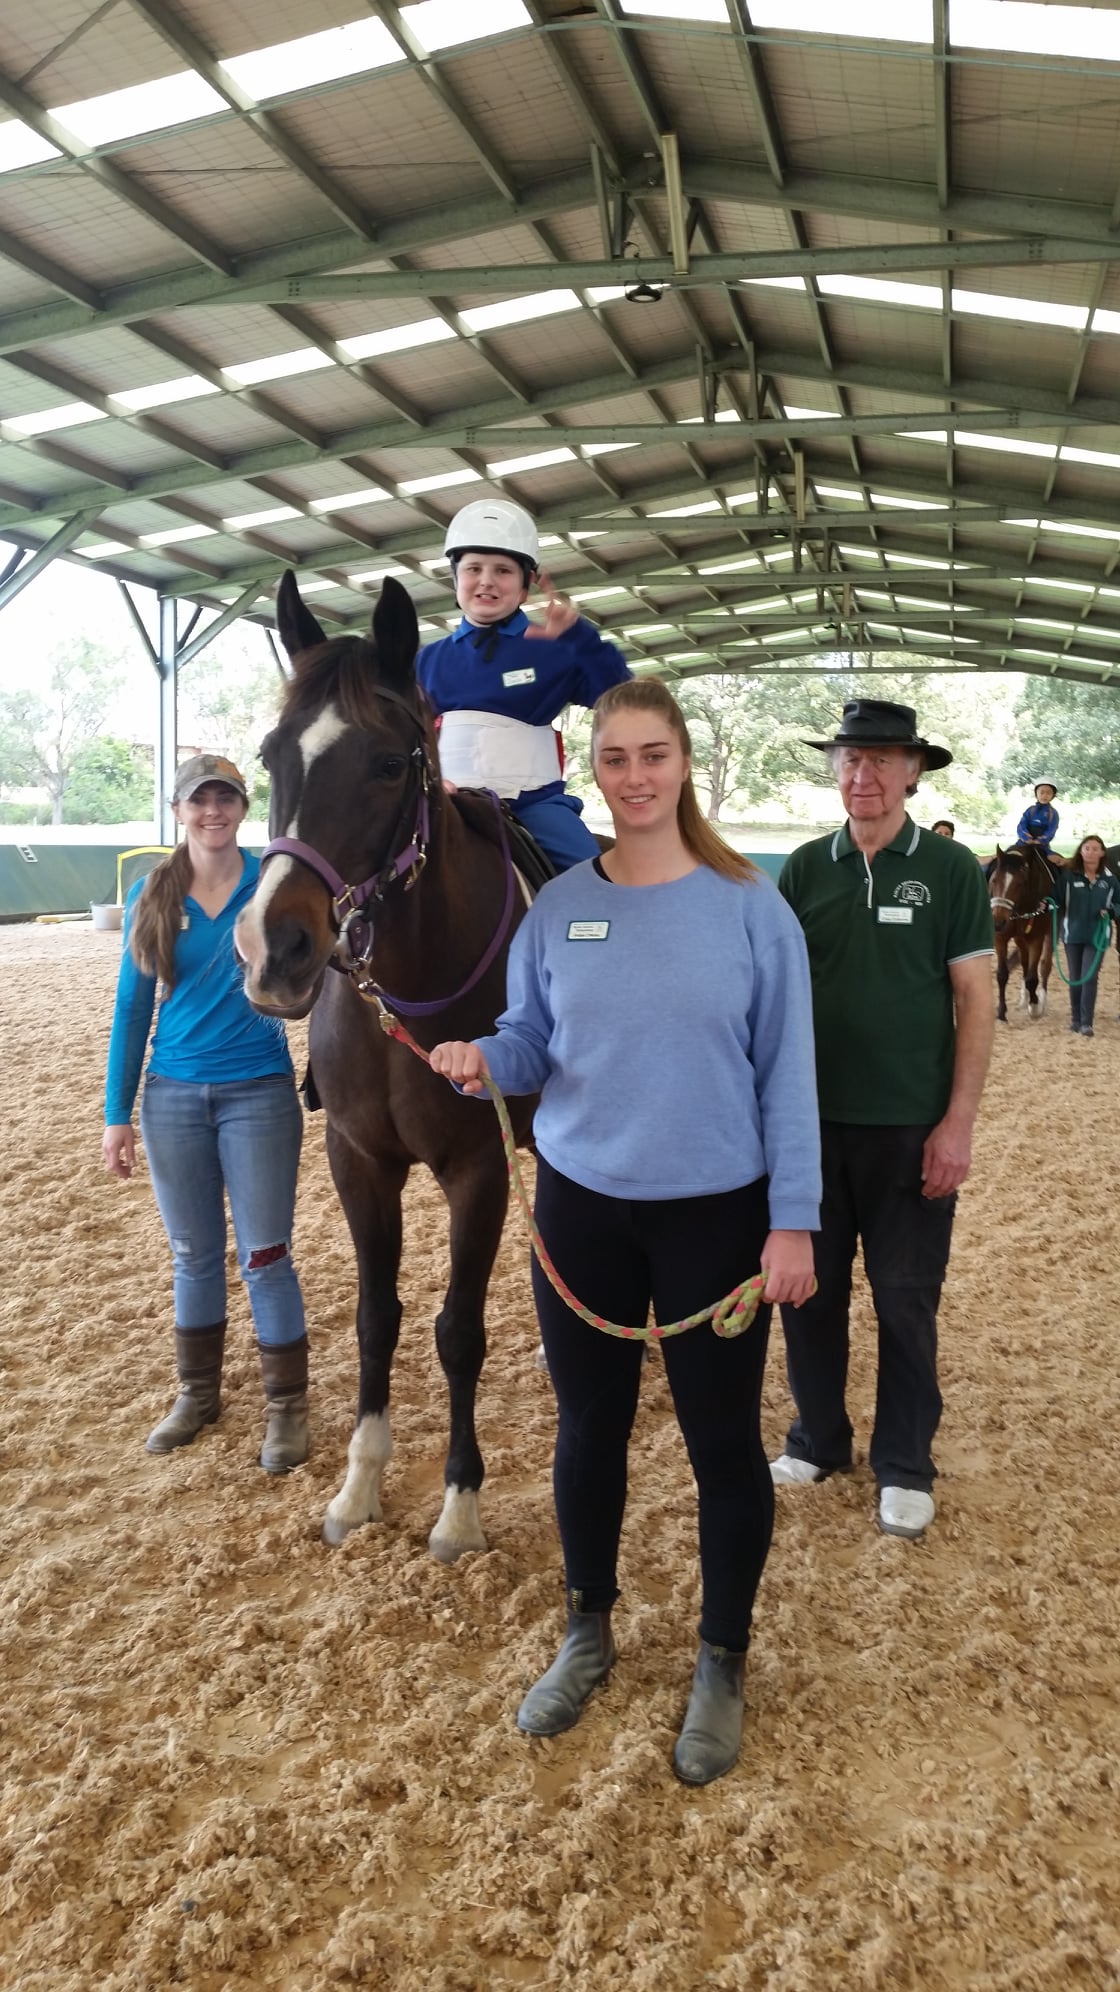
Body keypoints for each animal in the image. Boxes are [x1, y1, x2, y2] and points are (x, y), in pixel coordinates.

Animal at [235, 572, 536, 1560]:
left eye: (389, 763)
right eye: (271, 754)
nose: (276, 948)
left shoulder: (478, 1167)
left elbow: (459, 1330)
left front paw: (460, 1506)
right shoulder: (359, 1161)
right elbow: (378, 1319)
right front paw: (359, 1487)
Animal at [987, 842, 1056, 1023]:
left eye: (1020, 883)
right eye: (994, 880)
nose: (997, 922)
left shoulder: (1036, 938)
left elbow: (1033, 978)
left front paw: (1035, 1006)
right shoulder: (1000, 938)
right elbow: (1002, 974)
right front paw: (1001, 1012)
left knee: (1045, 966)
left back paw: (1040, 999)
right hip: (1020, 938)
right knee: (1025, 962)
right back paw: (1025, 997)